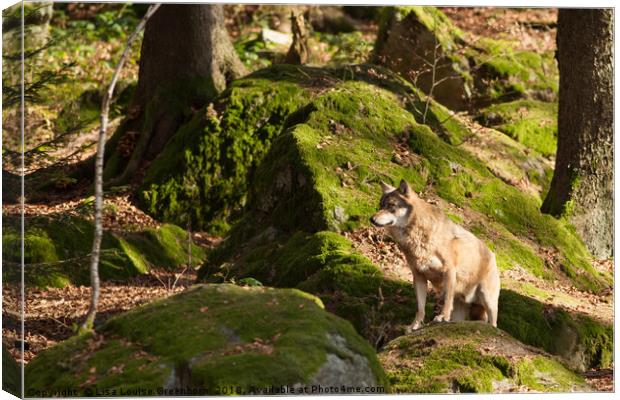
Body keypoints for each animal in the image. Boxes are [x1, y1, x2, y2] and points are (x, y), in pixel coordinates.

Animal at [370, 180, 502, 330]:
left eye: (391, 205)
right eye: (381, 205)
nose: (371, 219)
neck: (418, 235)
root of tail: (492, 255)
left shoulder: (449, 271)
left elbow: (446, 300)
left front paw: (442, 317)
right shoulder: (419, 277)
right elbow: (420, 308)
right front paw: (414, 326)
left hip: (488, 300)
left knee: (493, 323)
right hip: (461, 310)